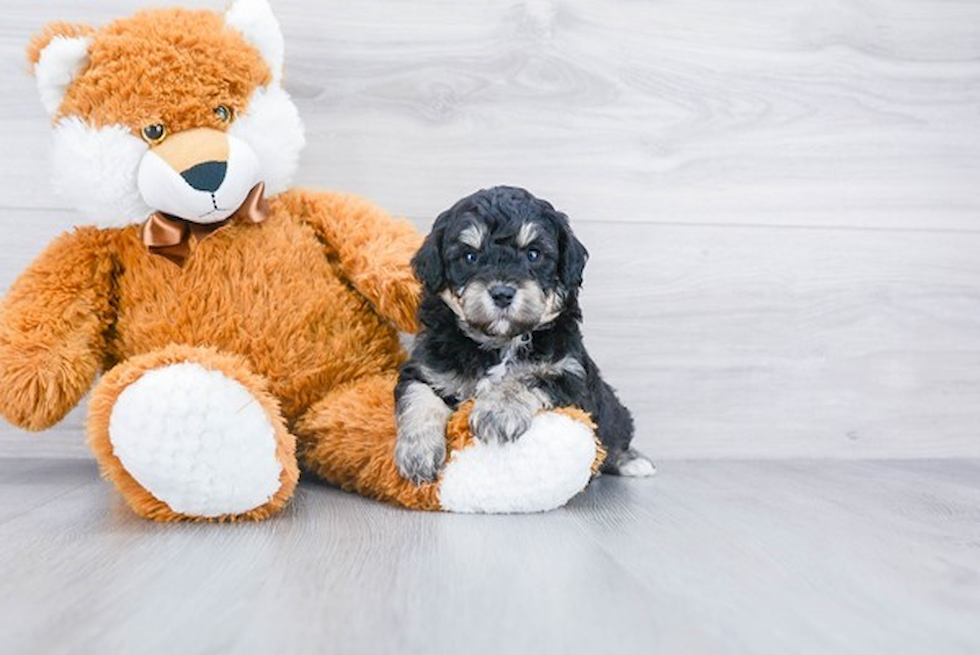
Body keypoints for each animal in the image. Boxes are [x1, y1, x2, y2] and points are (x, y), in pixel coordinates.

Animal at [394, 187, 656, 484]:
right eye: (470, 257)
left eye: (533, 254)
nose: (502, 293)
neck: (501, 341)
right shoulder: (425, 368)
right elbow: (419, 396)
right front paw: (418, 452)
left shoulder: (569, 375)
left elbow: (528, 377)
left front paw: (497, 411)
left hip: (612, 410)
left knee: (616, 434)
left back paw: (631, 461)